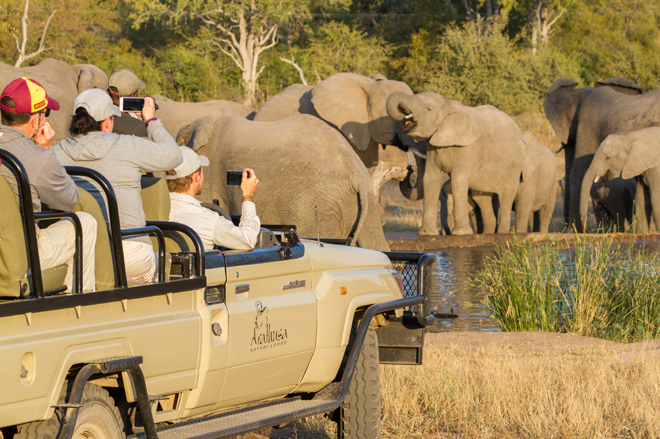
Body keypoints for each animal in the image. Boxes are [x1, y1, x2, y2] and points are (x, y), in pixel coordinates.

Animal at [384, 90, 524, 235]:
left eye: (429, 109)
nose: (409, 169)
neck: (448, 106)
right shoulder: (432, 147)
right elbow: (430, 179)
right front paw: (426, 234)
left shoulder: (467, 147)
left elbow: (458, 180)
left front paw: (461, 233)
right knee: (482, 198)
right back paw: (488, 234)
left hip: (515, 163)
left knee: (506, 197)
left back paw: (502, 233)